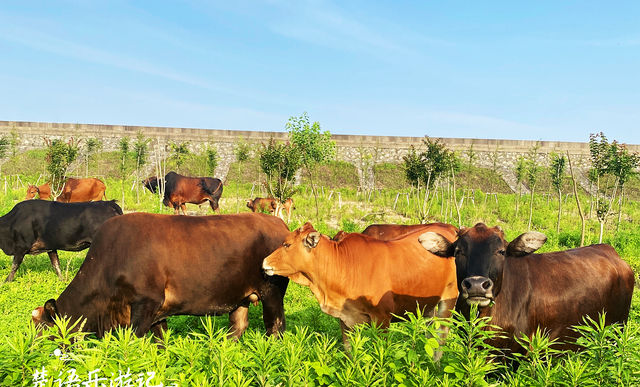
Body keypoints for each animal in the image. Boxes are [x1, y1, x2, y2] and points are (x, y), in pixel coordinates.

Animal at [31, 214, 288, 342]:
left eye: (47, 334)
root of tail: (277, 222)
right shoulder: (157, 311)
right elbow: (160, 342)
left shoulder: (146, 303)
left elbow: (133, 341)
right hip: (240, 295)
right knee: (238, 326)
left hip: (271, 293)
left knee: (275, 327)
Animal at [262, 221, 458, 354]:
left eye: (287, 244)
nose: (264, 262)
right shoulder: (346, 319)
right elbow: (350, 351)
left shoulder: (382, 319)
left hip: (448, 301)